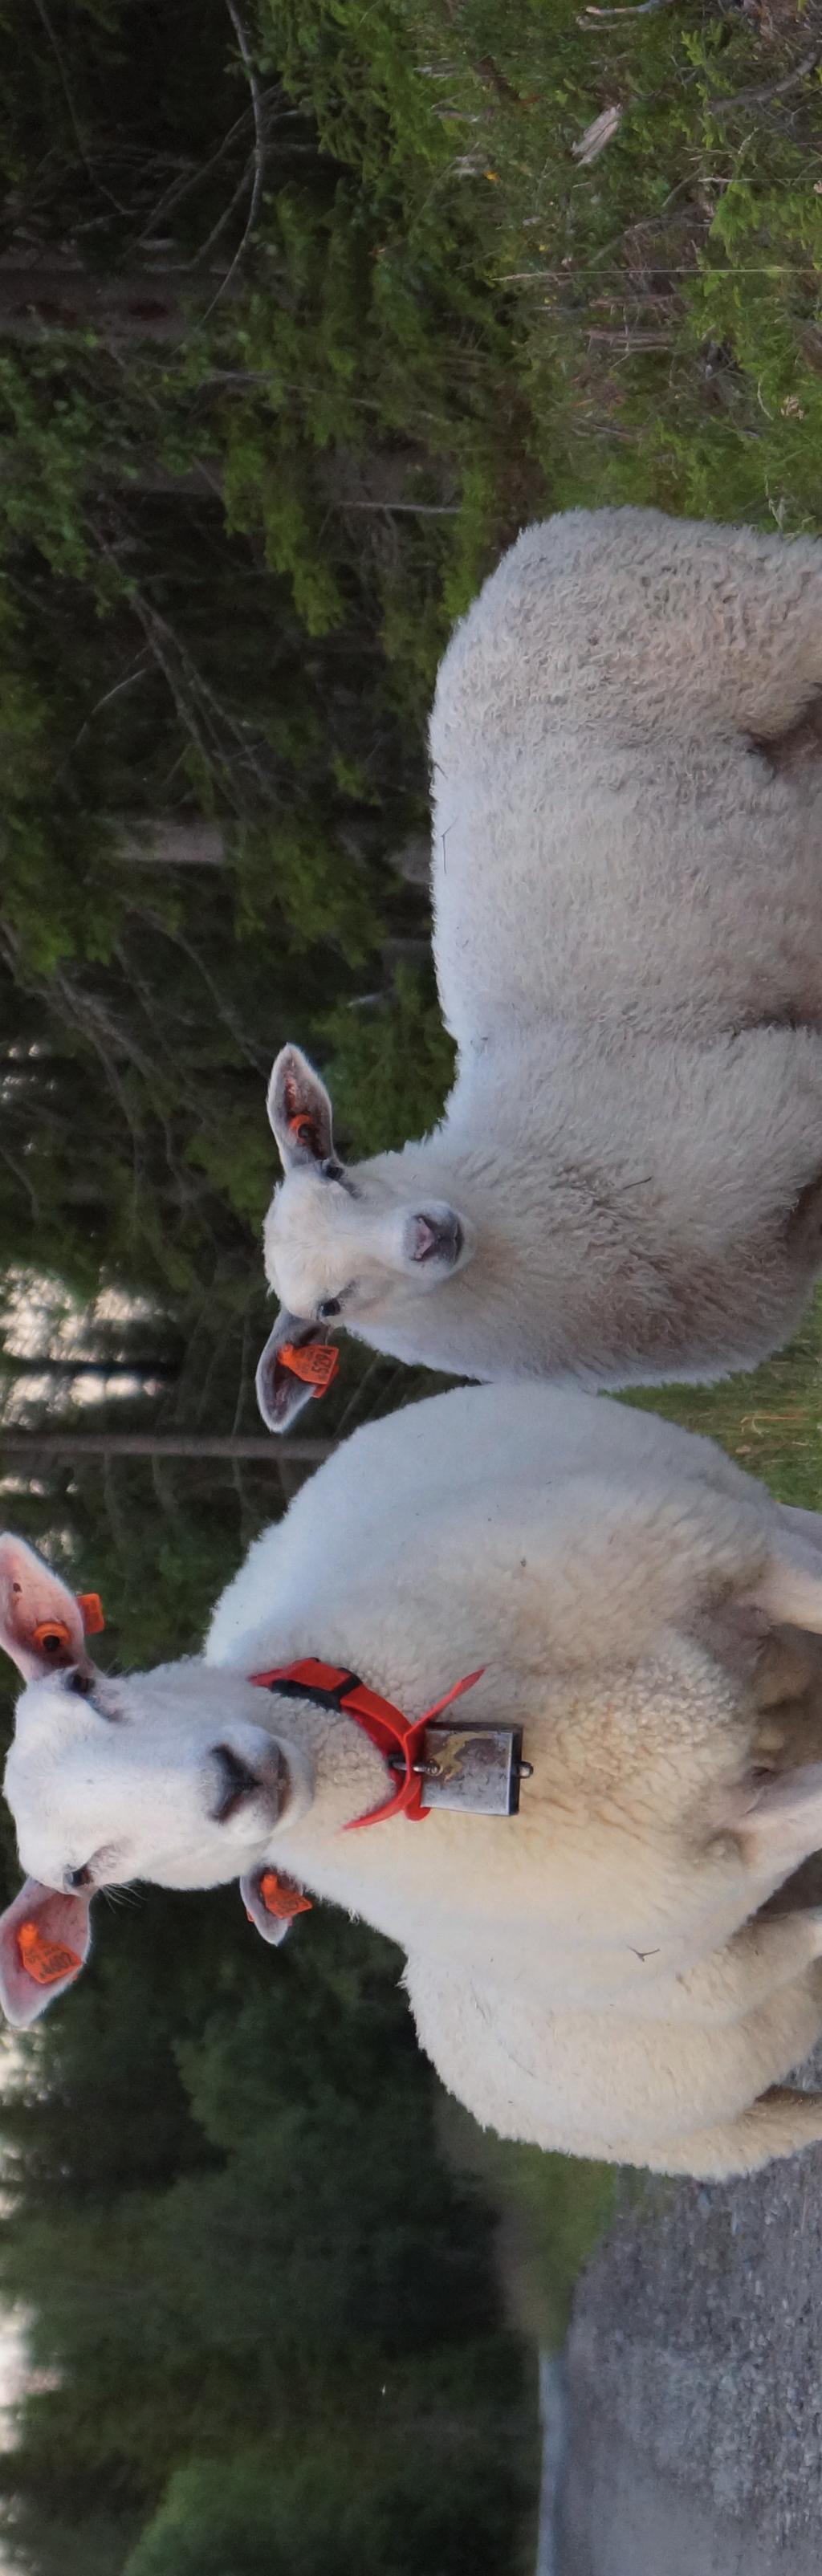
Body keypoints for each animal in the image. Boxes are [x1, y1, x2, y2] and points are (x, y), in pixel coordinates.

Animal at [258, 502, 822, 1432]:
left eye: (341, 1172)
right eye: (328, 1307)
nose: (427, 1234)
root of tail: (539, 543)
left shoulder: (769, 1093)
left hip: (743, 617)